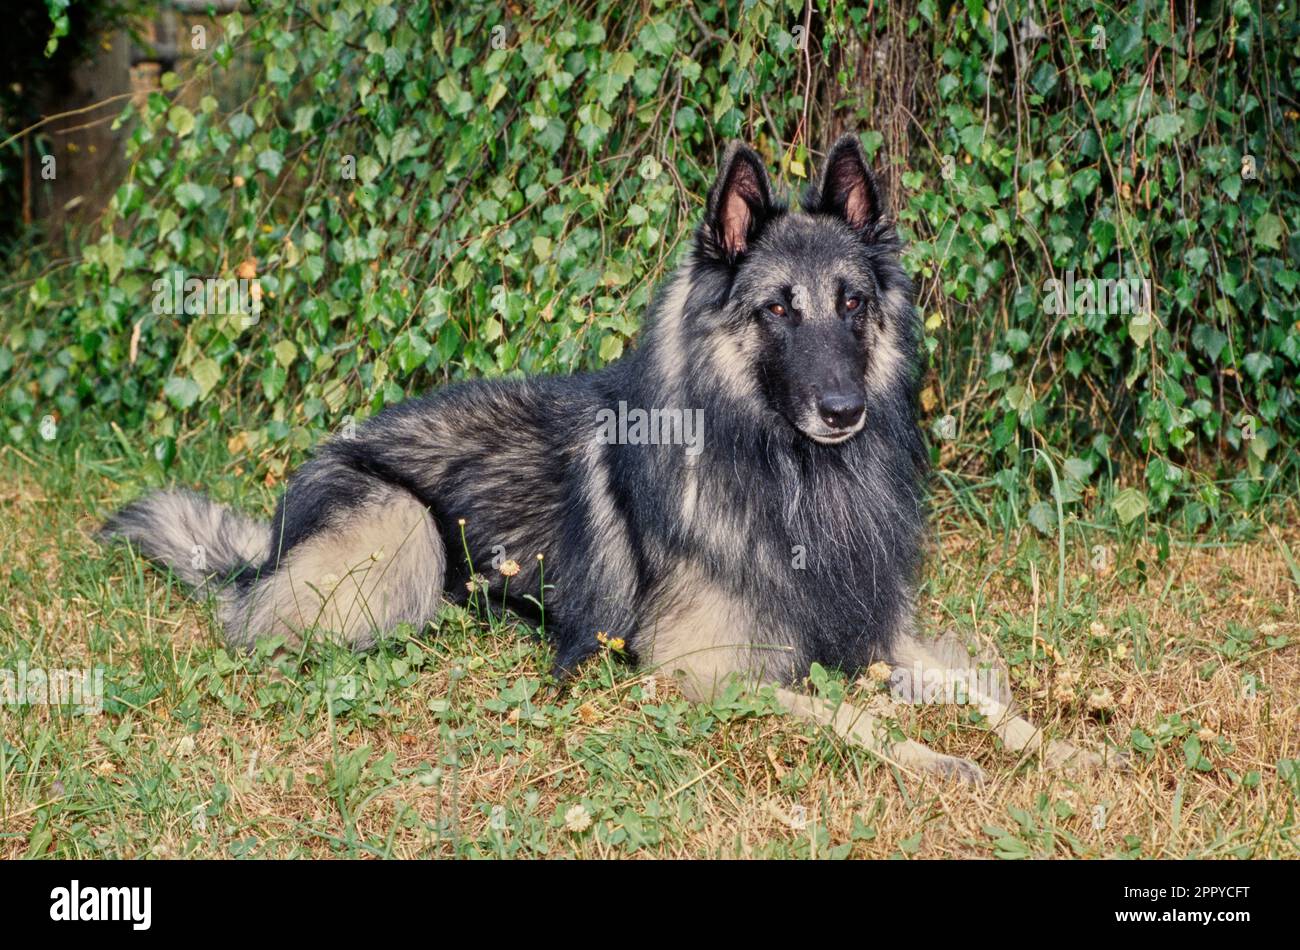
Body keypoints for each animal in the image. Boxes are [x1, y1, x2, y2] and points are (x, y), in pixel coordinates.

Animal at [104, 135, 1118, 790]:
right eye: (777, 310)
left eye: (853, 302)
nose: (843, 411)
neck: (787, 477)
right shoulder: (705, 670)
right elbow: (854, 716)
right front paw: (939, 759)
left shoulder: (877, 633)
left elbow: (987, 695)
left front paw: (1065, 750)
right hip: (401, 540)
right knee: (249, 616)